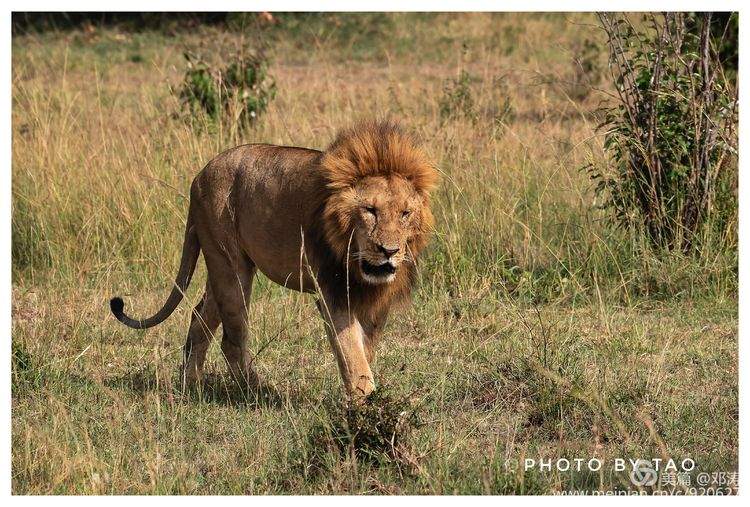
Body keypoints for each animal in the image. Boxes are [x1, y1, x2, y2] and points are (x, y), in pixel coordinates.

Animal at [108, 121, 438, 398]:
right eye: (370, 210)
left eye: (405, 213)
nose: (389, 251)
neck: (353, 258)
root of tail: (200, 175)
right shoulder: (332, 293)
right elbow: (352, 353)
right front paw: (368, 407)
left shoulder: (376, 301)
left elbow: (363, 350)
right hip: (231, 265)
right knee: (232, 339)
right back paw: (259, 393)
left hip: (221, 266)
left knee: (200, 317)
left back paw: (192, 386)